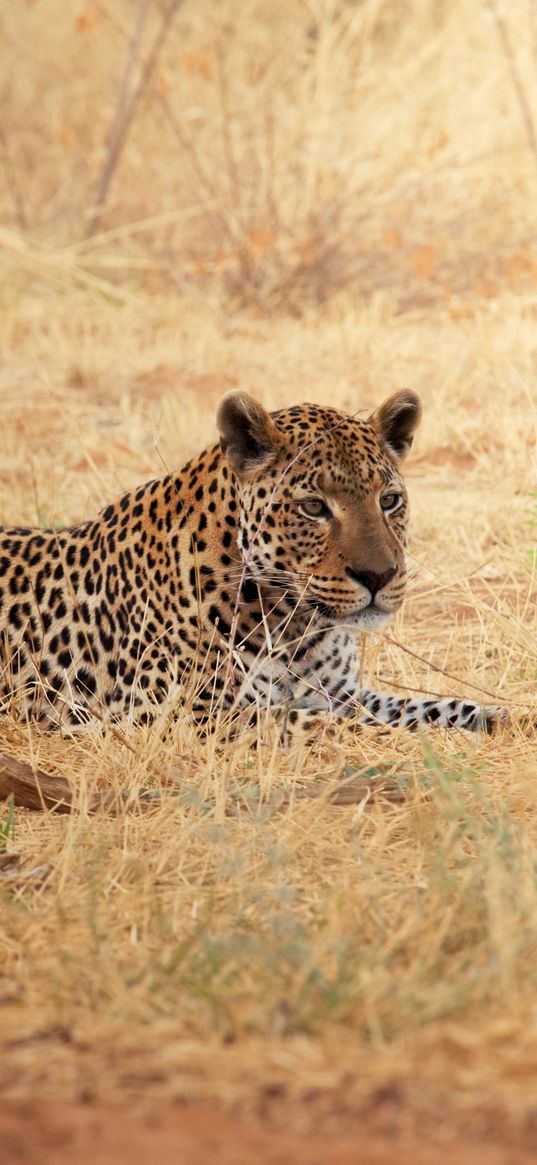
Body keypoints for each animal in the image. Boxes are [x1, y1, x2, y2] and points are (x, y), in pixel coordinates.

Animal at [0, 391, 505, 736]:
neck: (298, 628)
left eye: (389, 501)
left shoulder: (339, 694)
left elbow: (427, 707)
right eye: (313, 508)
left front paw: (501, 717)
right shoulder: (184, 713)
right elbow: (328, 726)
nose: (379, 576)